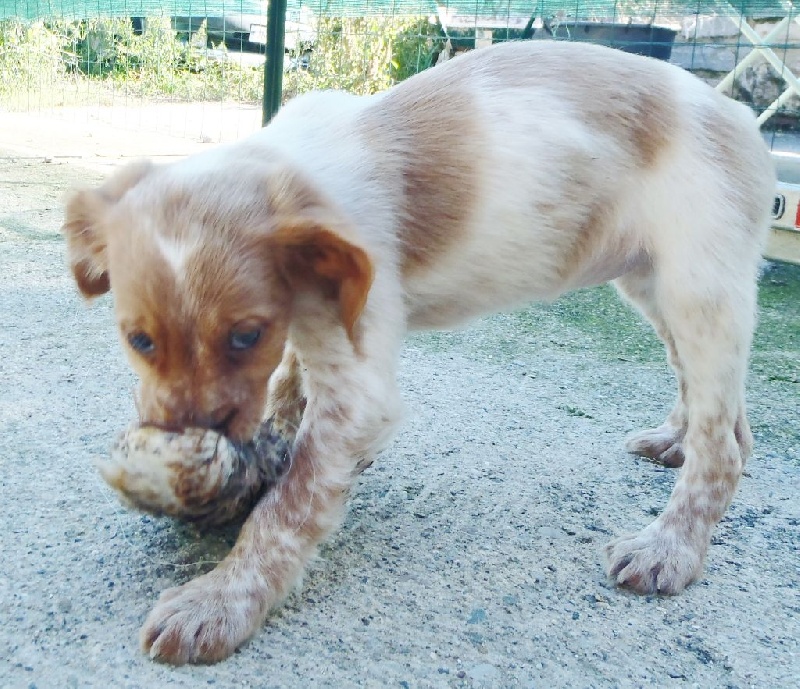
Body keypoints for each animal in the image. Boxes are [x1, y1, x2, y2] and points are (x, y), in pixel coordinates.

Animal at [61, 40, 776, 664]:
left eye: (245, 336)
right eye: (139, 340)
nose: (190, 443)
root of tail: (740, 115)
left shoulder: (359, 386)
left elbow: (290, 505)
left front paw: (219, 598)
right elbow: (290, 390)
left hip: (698, 288)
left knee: (724, 448)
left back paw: (671, 549)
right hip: (652, 287)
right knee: (716, 405)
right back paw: (674, 441)